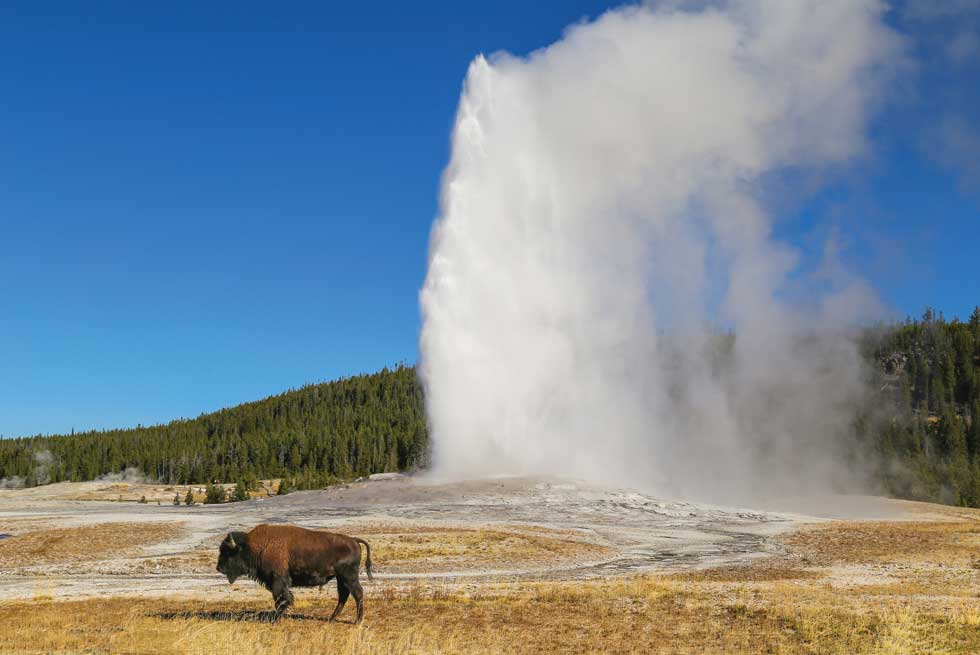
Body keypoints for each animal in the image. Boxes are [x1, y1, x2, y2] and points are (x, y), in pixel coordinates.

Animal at [216, 524, 373, 623]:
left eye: (228, 552)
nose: (218, 568)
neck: (255, 546)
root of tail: (353, 540)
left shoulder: (278, 580)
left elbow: (281, 599)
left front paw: (276, 619)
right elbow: (281, 599)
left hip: (349, 577)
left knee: (357, 594)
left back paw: (357, 621)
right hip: (341, 578)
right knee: (344, 596)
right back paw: (331, 618)